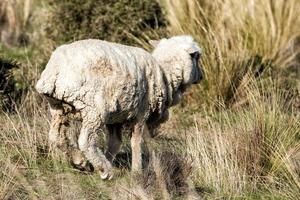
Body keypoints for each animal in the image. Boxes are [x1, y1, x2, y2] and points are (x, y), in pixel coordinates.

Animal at [35, 34, 204, 180]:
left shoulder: (116, 116)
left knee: (56, 137)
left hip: (58, 107)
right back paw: (105, 170)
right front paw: (137, 170)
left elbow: (115, 143)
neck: (165, 73)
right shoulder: (141, 112)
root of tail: (56, 69)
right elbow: (136, 141)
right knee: (85, 140)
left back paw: (81, 161)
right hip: (94, 109)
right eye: (197, 57)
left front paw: (108, 159)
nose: (202, 77)